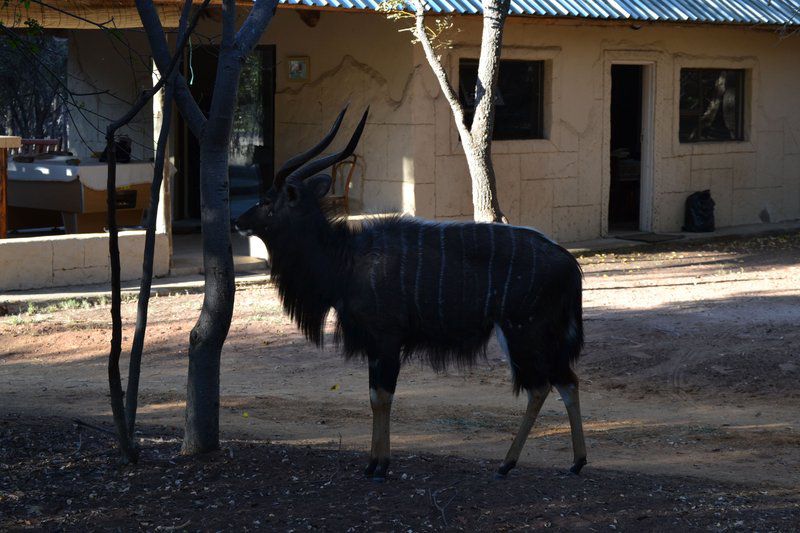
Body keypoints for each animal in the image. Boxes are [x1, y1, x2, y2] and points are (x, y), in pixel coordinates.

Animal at [238, 106, 588, 480]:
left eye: (266, 200)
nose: (237, 222)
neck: (345, 259)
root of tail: (569, 263)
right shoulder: (376, 345)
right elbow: (374, 396)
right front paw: (373, 463)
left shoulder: (386, 338)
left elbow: (382, 397)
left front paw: (379, 466)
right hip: (536, 336)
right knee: (567, 381)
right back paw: (573, 462)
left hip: (524, 332)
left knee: (542, 385)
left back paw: (509, 463)